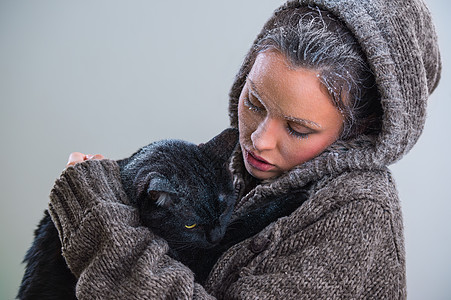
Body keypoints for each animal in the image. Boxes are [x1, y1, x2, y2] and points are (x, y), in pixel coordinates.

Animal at [15, 127, 308, 298]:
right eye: (190, 225)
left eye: (224, 206)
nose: (213, 236)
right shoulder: (195, 259)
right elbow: (243, 224)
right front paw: (294, 196)